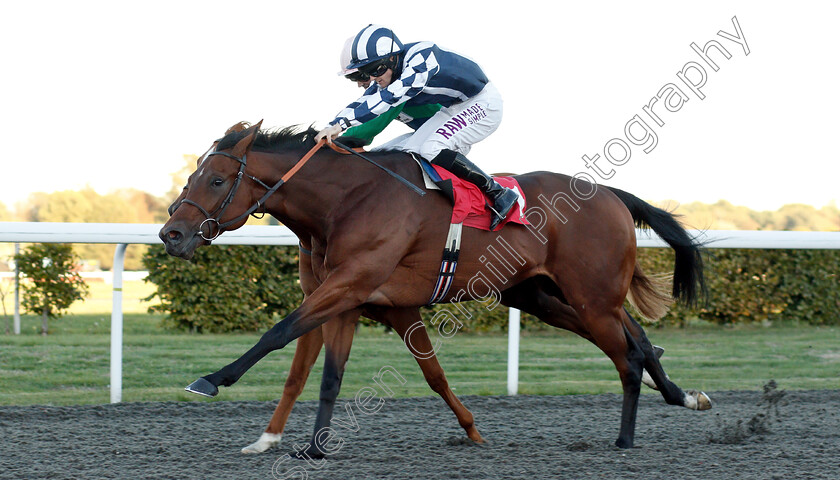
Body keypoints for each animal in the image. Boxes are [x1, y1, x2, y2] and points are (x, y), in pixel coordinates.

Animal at [161, 120, 712, 454]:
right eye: (192, 175)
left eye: (215, 180)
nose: (172, 234)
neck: (343, 201)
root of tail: (611, 194)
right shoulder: (343, 299)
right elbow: (314, 374)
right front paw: (280, 440)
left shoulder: (349, 287)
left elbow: (280, 336)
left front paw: (212, 380)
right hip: (545, 295)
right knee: (636, 337)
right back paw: (681, 395)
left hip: (590, 297)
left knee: (627, 355)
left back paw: (626, 438)